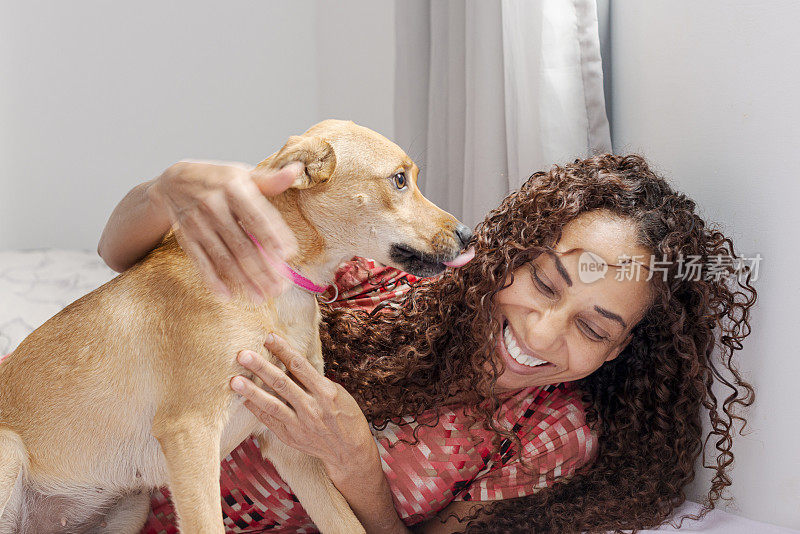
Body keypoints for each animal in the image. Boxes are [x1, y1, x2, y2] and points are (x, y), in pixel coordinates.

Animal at [0, 121, 476, 534]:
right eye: (399, 180)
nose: (469, 235)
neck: (280, 286)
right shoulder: (190, 433)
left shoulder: (291, 446)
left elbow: (346, 523)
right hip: (10, 456)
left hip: (131, 505)